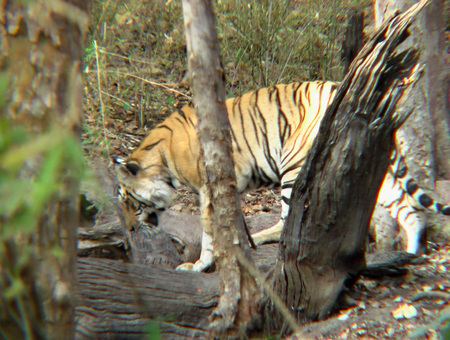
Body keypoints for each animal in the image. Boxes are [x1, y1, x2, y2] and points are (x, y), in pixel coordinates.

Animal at [116, 81, 450, 272]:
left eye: (130, 202)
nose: (130, 229)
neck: (162, 159)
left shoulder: (209, 189)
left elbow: (209, 229)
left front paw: (200, 265)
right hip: (372, 165)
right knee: (409, 211)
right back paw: (409, 253)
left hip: (293, 164)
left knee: (290, 220)